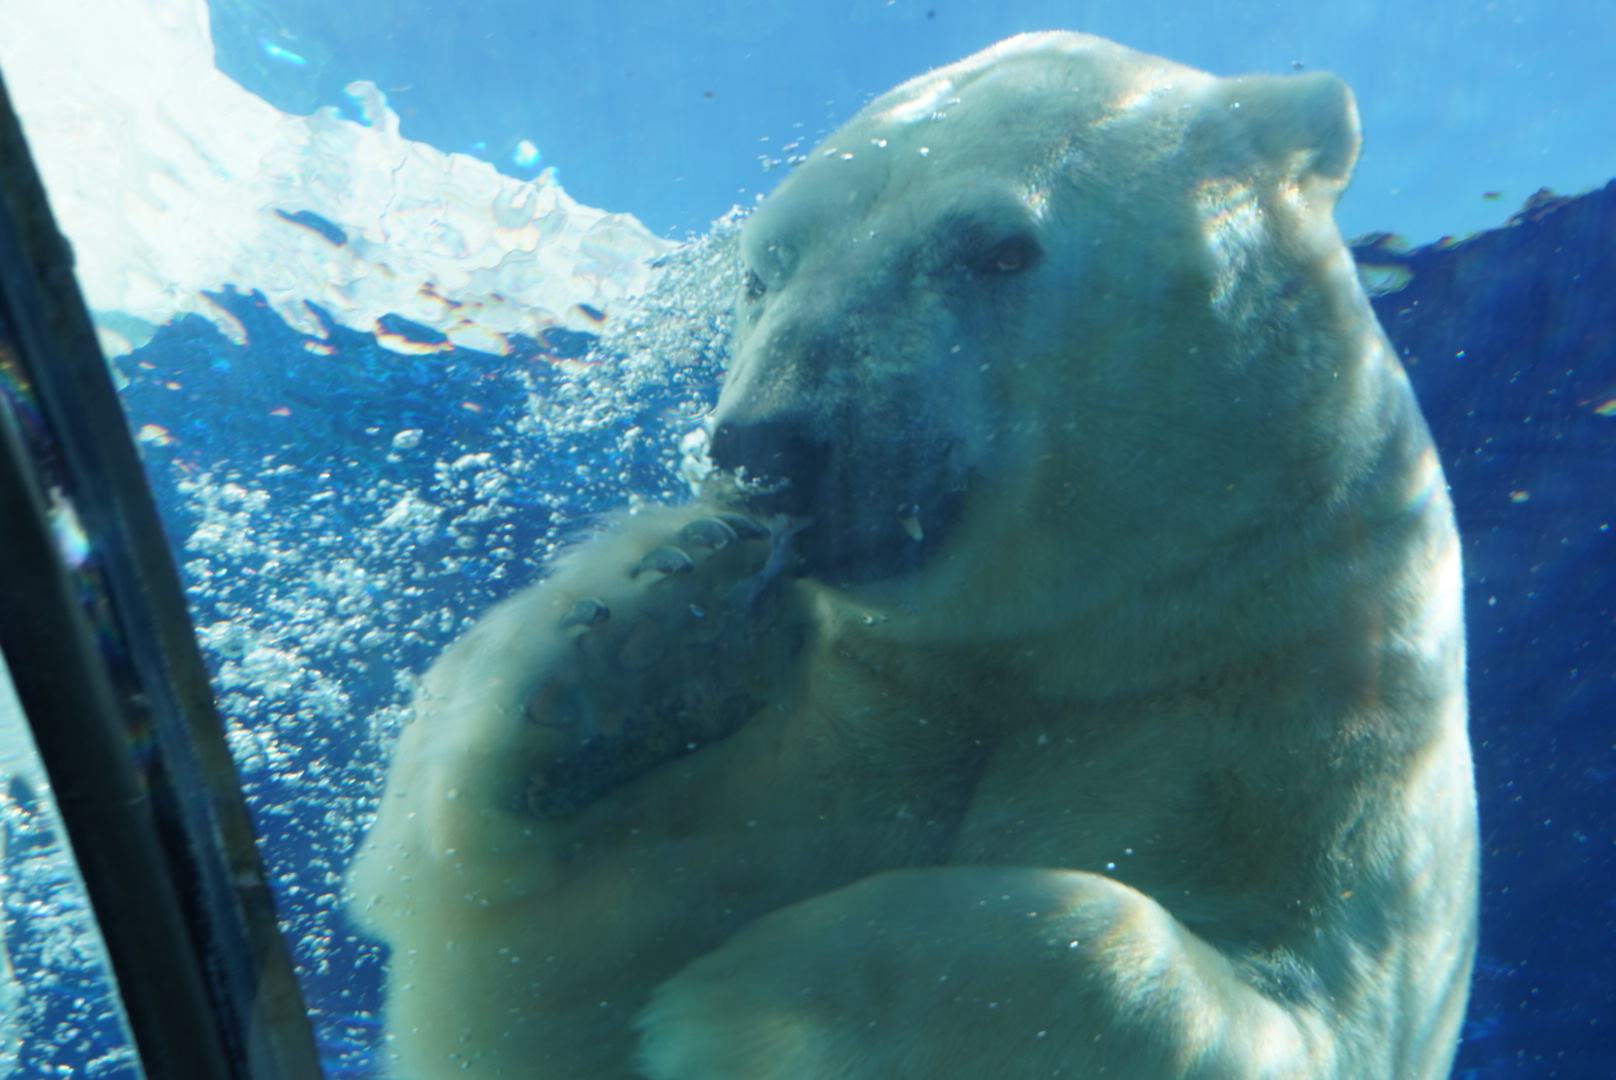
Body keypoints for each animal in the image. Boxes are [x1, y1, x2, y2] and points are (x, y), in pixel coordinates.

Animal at [347, 31, 1478, 1080]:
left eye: (999, 249)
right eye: (761, 273)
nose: (769, 448)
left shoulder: (1310, 745)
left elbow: (1286, 1012)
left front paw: (753, 996)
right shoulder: (840, 730)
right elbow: (524, 976)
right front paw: (641, 648)